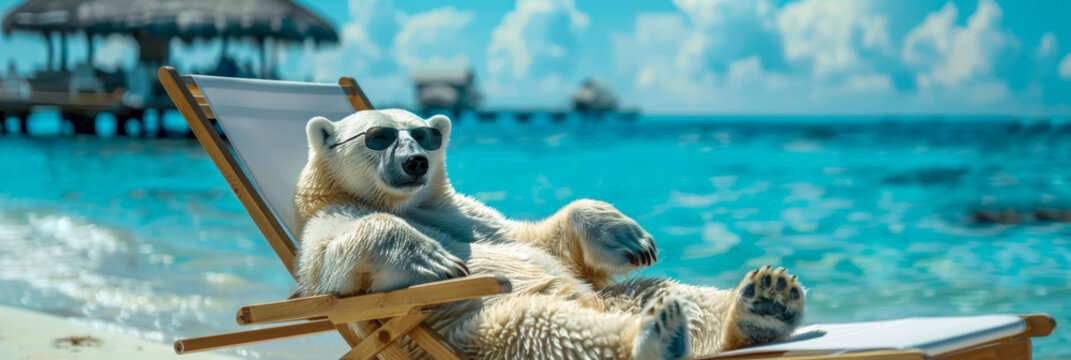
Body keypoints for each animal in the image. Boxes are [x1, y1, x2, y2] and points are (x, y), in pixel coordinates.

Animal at [293, 109, 805, 360]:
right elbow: (331, 264)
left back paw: (764, 302)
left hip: (610, 297)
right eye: (378, 136)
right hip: (475, 331)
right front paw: (429, 258)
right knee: (542, 326)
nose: (416, 161)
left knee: (668, 292)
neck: (410, 204)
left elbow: (538, 240)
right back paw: (655, 337)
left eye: (424, 135)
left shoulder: (466, 211)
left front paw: (627, 236)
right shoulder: (327, 219)